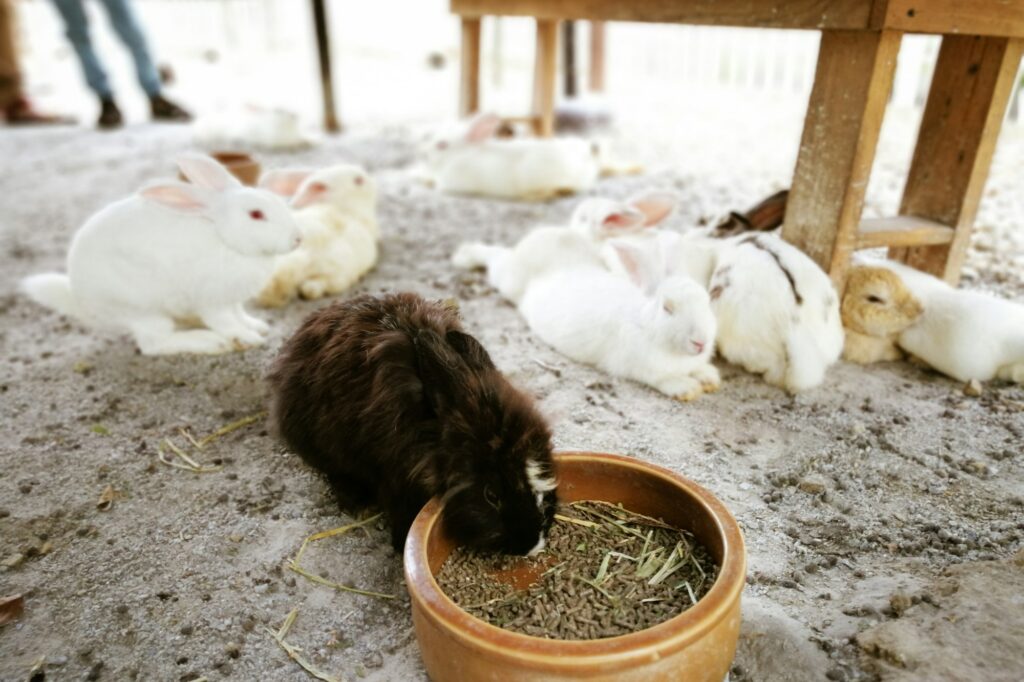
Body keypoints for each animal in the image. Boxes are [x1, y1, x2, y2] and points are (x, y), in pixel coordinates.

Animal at [20, 153, 299, 356]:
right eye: (256, 214)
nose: (297, 239)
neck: (223, 237)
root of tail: (81, 302)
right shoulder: (212, 301)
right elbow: (226, 323)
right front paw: (248, 338)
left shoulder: (234, 300)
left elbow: (240, 314)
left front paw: (258, 326)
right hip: (143, 310)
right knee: (153, 344)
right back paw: (209, 342)